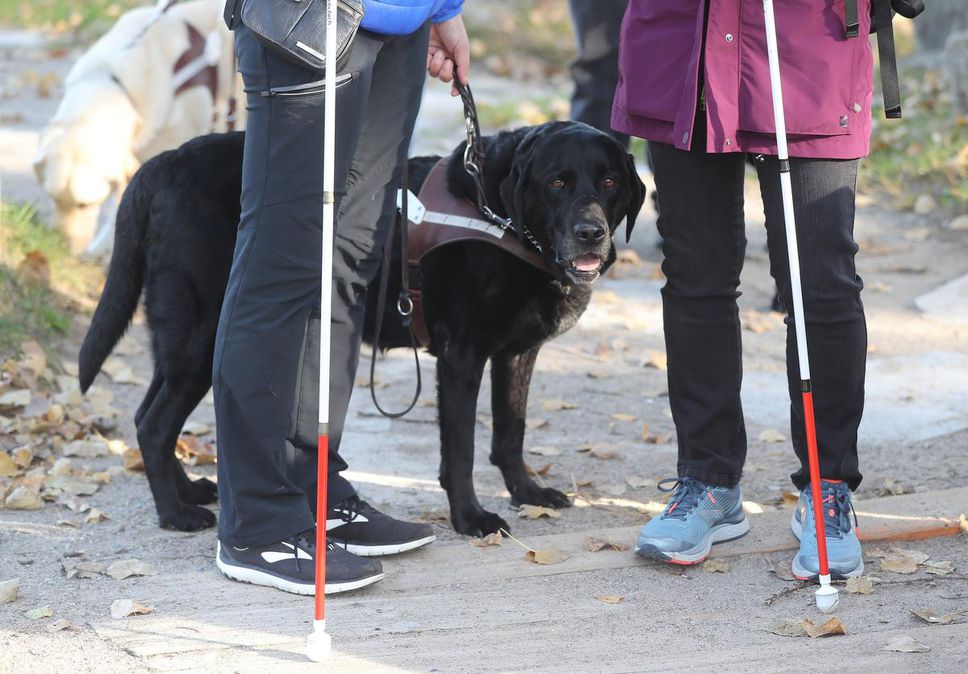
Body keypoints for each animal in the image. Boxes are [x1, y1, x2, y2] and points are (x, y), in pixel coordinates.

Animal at [79, 122, 648, 536]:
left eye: (610, 182)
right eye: (558, 182)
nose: (591, 233)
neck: (501, 213)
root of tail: (159, 165)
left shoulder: (516, 353)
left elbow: (511, 431)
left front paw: (527, 494)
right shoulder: (462, 356)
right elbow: (461, 450)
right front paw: (470, 519)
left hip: (180, 338)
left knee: (147, 415)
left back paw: (189, 491)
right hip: (199, 337)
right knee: (156, 423)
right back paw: (175, 515)